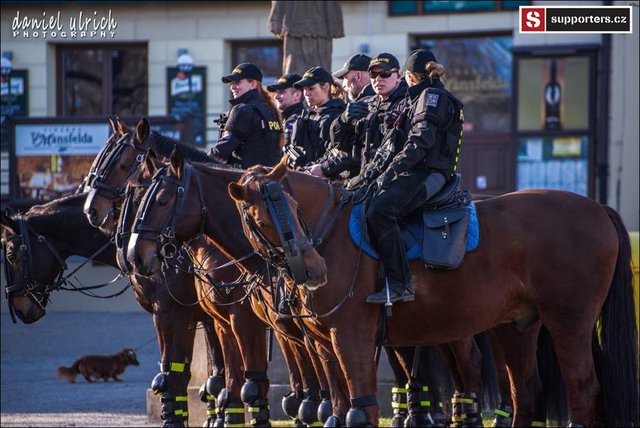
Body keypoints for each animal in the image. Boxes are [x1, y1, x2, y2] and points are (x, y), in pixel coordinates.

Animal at [231, 159, 640, 426]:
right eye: (262, 220)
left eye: (294, 207)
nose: (315, 270)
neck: (329, 235)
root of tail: (599, 208)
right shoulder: (323, 346)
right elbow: (338, 409)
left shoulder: (351, 338)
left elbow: (360, 410)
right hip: (516, 326)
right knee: (525, 393)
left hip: (569, 323)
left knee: (582, 393)